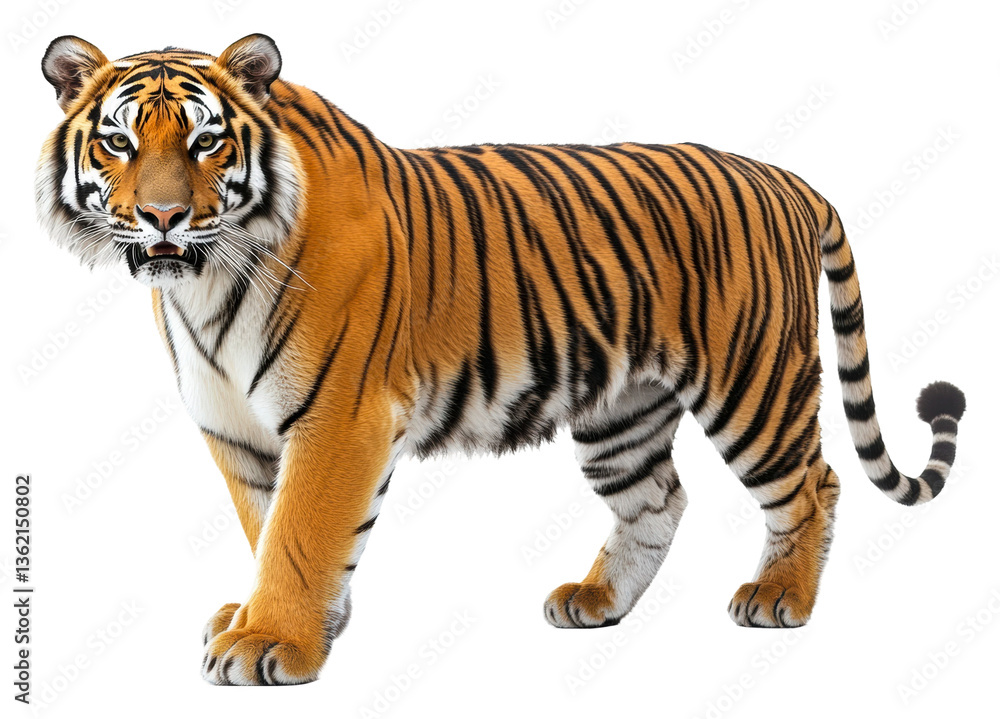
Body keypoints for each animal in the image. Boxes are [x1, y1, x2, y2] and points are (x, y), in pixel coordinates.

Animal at [36, 33, 966, 686]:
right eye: (119, 143)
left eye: (205, 144)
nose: (161, 218)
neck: (208, 278)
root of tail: (787, 178)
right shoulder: (237, 431)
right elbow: (269, 525)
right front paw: (298, 621)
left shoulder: (339, 418)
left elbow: (301, 531)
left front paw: (270, 640)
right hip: (622, 408)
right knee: (659, 498)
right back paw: (597, 601)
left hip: (753, 381)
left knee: (815, 483)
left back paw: (781, 598)